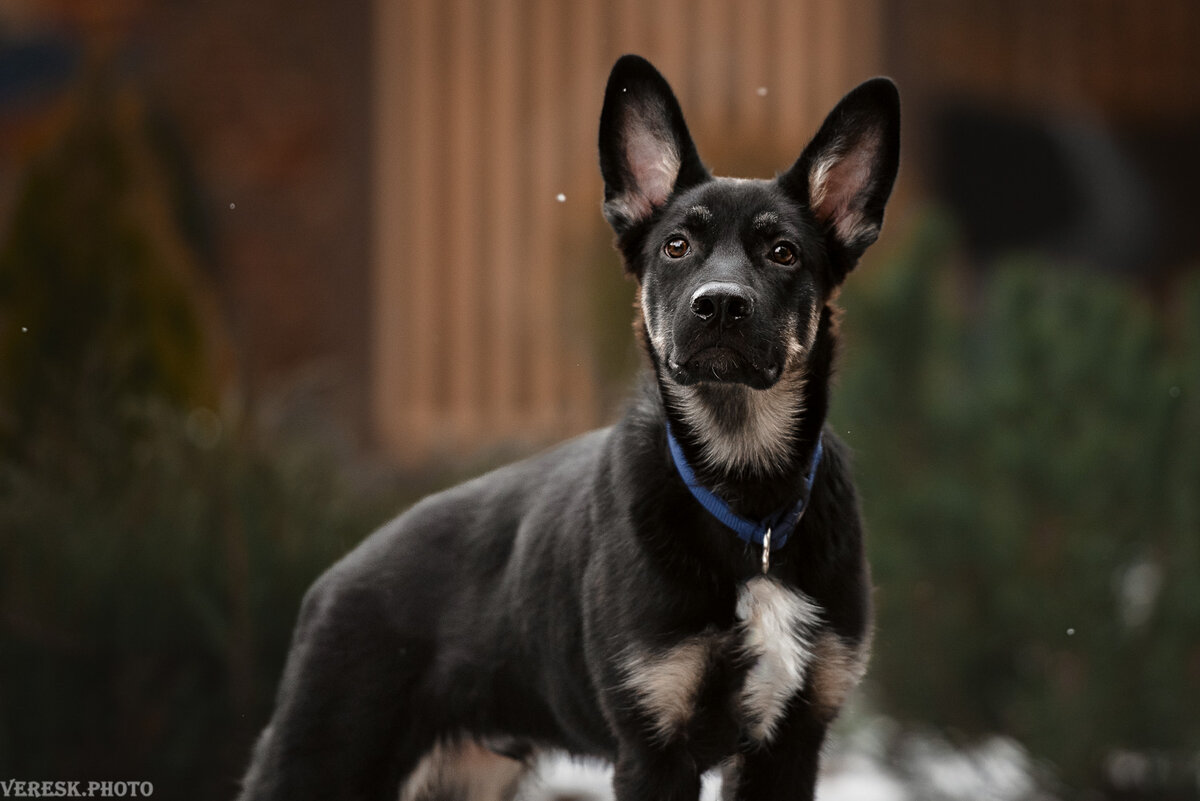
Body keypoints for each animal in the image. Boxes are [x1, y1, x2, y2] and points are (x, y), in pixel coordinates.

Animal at [238, 53, 902, 796]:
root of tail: (328, 585)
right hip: (321, 762)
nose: (720, 306)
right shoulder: (651, 753)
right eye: (677, 246)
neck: (744, 498)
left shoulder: (787, 747)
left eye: (783, 252)